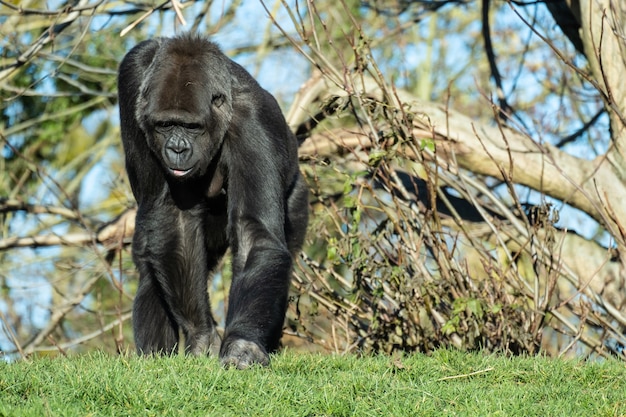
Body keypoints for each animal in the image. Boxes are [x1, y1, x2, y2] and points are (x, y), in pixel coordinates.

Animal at [116, 34, 308, 368]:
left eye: (192, 127)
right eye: (165, 125)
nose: (177, 149)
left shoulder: (252, 121)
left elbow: (253, 235)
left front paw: (243, 344)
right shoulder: (132, 75)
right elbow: (173, 218)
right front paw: (201, 334)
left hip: (296, 197)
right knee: (151, 259)